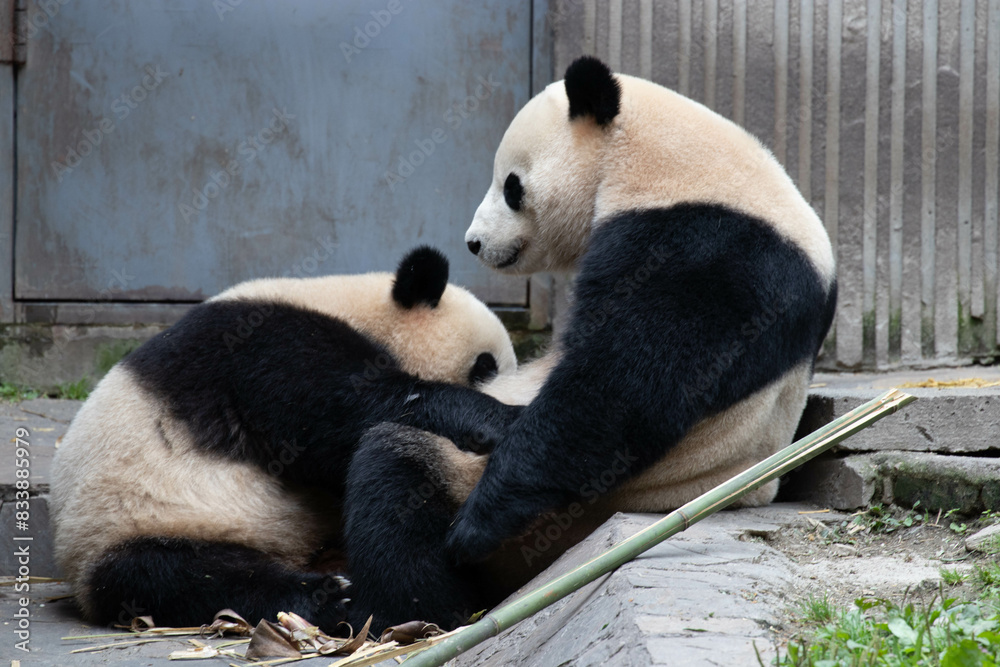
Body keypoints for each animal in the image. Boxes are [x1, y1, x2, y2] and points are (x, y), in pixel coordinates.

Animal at [50, 246, 521, 633]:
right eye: (485, 364)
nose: (505, 386)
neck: (355, 307)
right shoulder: (260, 340)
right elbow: (337, 412)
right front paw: (497, 417)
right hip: (135, 522)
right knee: (184, 576)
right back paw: (330, 597)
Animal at [341, 56, 837, 629]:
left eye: (511, 185)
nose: (474, 242)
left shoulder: (709, 249)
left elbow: (619, 387)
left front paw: (471, 530)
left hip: (541, 516)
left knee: (395, 470)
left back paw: (417, 609)